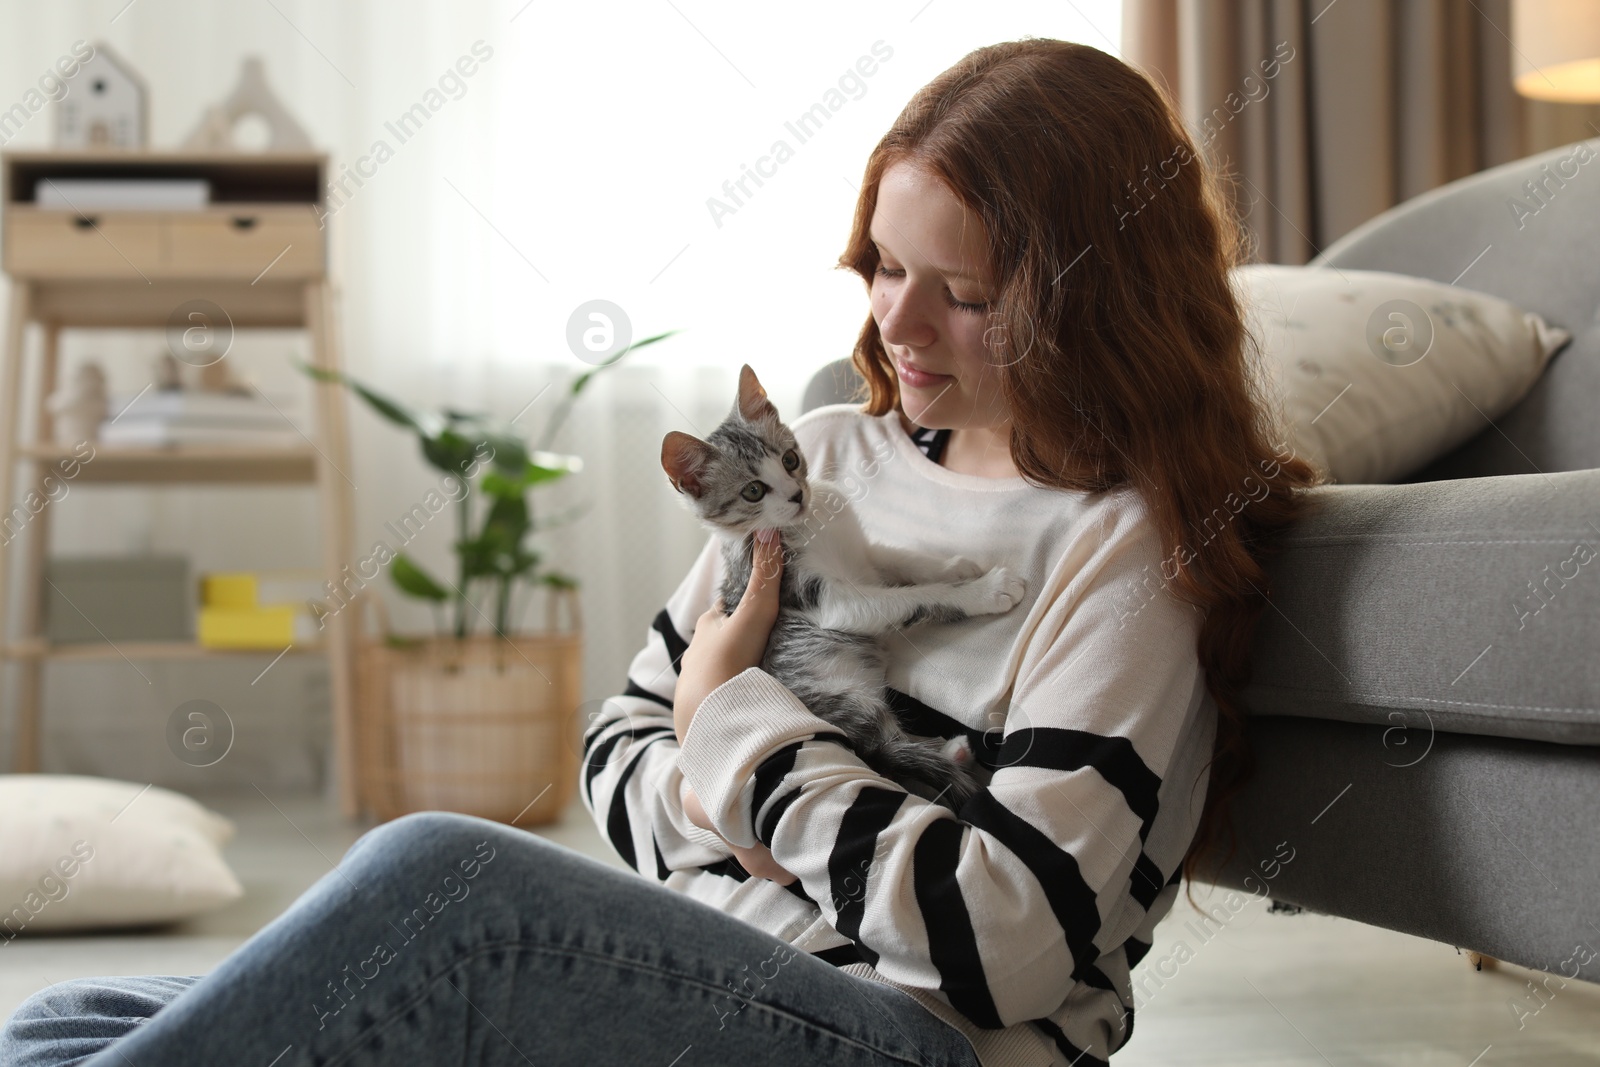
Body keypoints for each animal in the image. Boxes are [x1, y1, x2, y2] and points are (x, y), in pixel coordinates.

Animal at [659, 363, 1024, 806]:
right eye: (753, 491)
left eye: (790, 459)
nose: (797, 495)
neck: (809, 523)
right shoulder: (825, 599)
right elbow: (915, 597)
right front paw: (984, 590)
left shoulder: (863, 557)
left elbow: (900, 559)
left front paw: (955, 566)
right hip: (845, 702)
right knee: (883, 749)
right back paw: (948, 753)